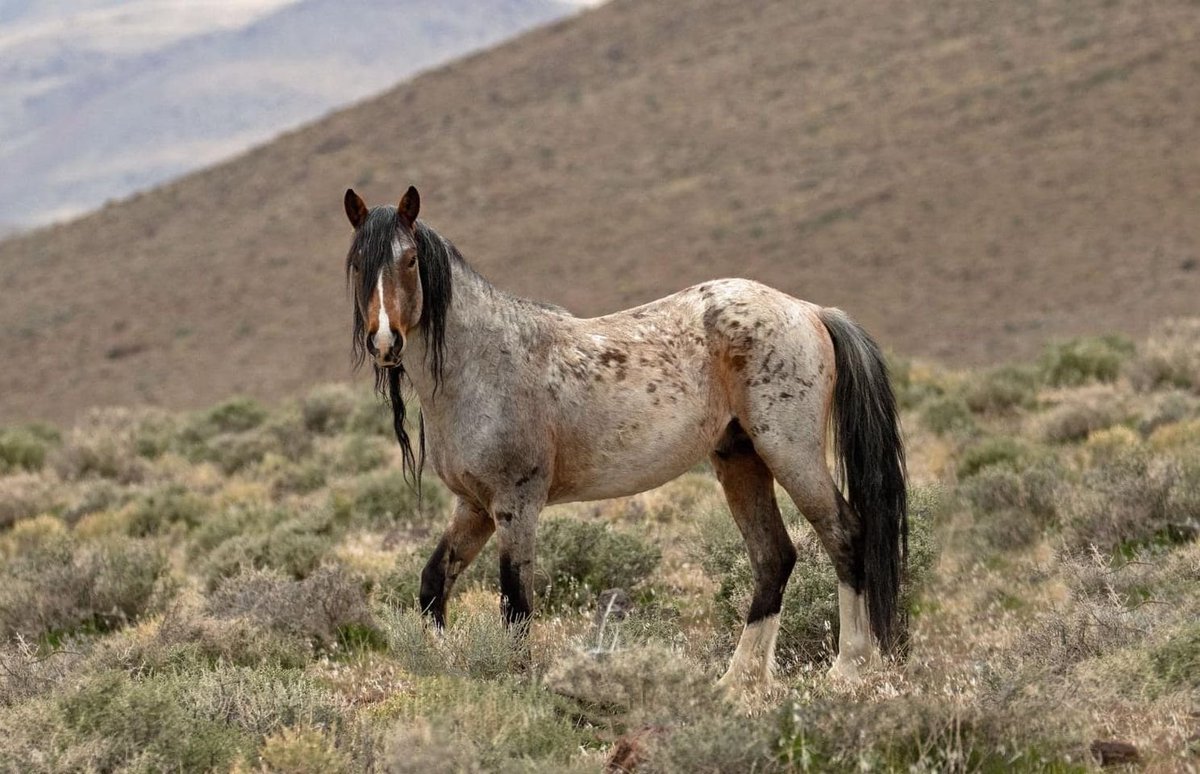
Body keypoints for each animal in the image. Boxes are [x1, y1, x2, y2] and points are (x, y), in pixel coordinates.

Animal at [343, 187, 902, 686]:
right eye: (356, 264)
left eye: (410, 259)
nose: (385, 341)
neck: (481, 363)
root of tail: (810, 311)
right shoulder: (474, 507)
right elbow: (433, 583)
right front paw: (439, 666)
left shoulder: (515, 506)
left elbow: (516, 605)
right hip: (739, 459)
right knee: (774, 558)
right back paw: (737, 683)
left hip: (789, 452)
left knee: (844, 535)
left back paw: (848, 670)